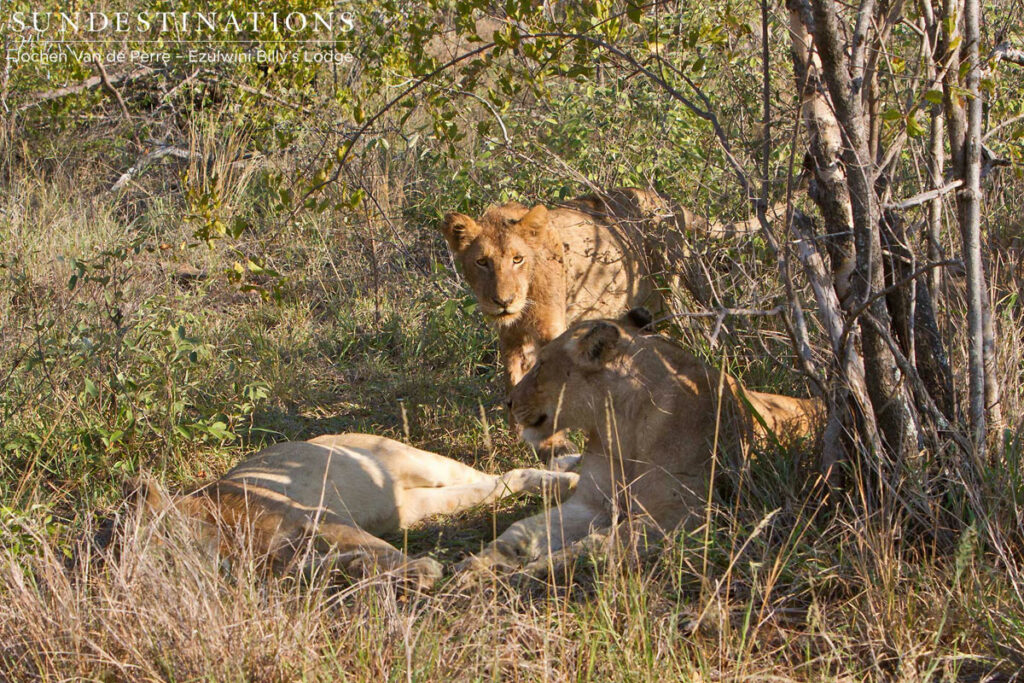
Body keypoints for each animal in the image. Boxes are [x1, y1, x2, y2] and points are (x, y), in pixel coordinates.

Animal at [139, 433, 578, 589]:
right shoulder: (287, 559)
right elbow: (337, 564)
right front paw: (365, 569)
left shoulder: (313, 517)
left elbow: (383, 551)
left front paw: (422, 570)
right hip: (414, 505)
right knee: (491, 486)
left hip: (421, 462)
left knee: (505, 474)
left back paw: (567, 477)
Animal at [456, 308, 821, 576]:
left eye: (543, 365)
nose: (508, 402)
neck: (621, 425)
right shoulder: (590, 504)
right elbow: (521, 529)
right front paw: (477, 564)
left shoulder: (683, 514)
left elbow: (597, 544)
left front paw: (527, 573)